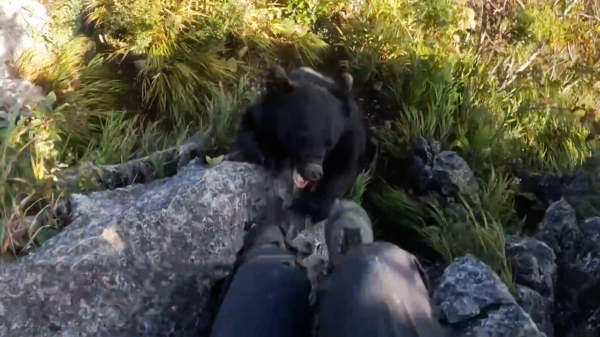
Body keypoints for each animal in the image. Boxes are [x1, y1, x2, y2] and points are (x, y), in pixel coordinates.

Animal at [237, 66, 368, 222]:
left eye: (329, 143)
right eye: (302, 138)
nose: (314, 172)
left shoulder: (349, 133)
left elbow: (345, 166)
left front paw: (315, 205)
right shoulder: (265, 113)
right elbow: (250, 126)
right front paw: (267, 155)